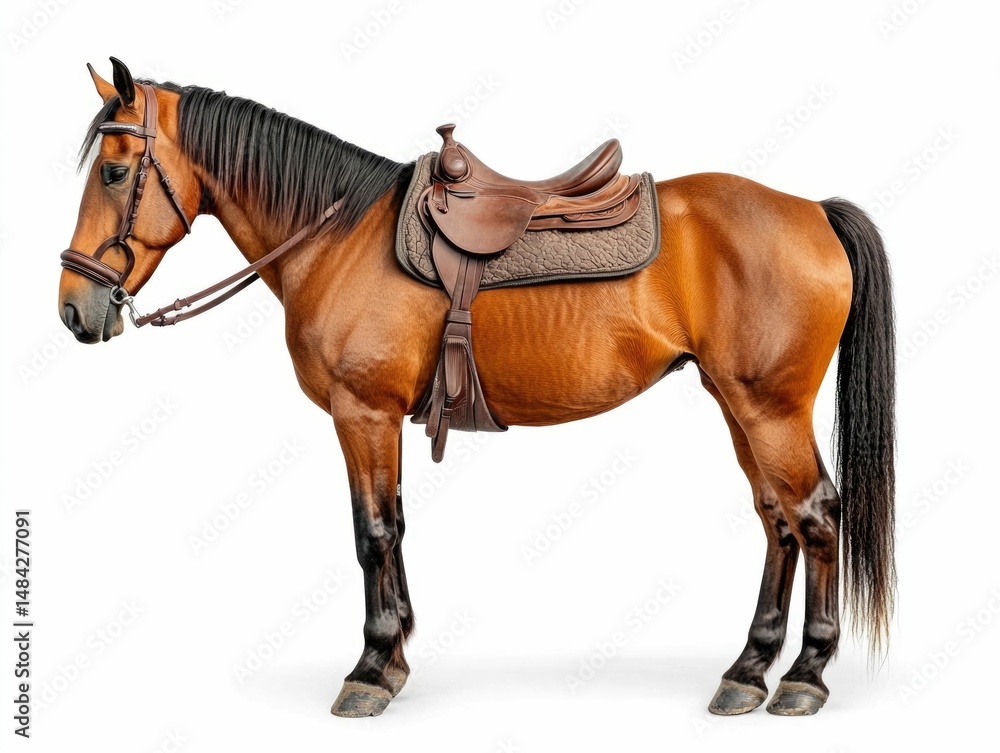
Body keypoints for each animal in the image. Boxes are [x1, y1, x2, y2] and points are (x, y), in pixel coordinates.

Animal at [57, 59, 896, 718]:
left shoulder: (362, 413)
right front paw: (394, 658)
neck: (341, 237)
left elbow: (371, 533)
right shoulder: (379, 419)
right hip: (737, 404)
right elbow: (391, 526)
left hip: (769, 408)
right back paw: (747, 670)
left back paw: (805, 676)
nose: (74, 306)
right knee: (777, 520)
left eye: (114, 171)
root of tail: (813, 210)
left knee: (815, 514)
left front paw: (370, 669)